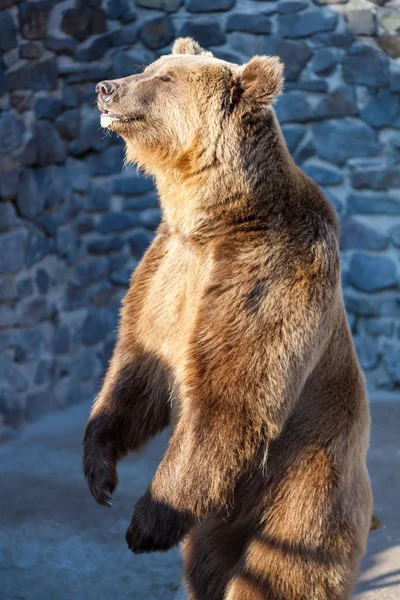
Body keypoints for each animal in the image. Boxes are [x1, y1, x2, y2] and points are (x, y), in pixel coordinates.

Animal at [83, 38, 372, 600]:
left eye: (165, 78)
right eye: (149, 66)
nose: (105, 86)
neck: (214, 217)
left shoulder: (269, 269)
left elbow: (232, 389)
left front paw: (147, 522)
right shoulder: (167, 269)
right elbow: (137, 367)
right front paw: (100, 475)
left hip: (303, 488)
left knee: (282, 572)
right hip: (217, 525)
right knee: (208, 567)